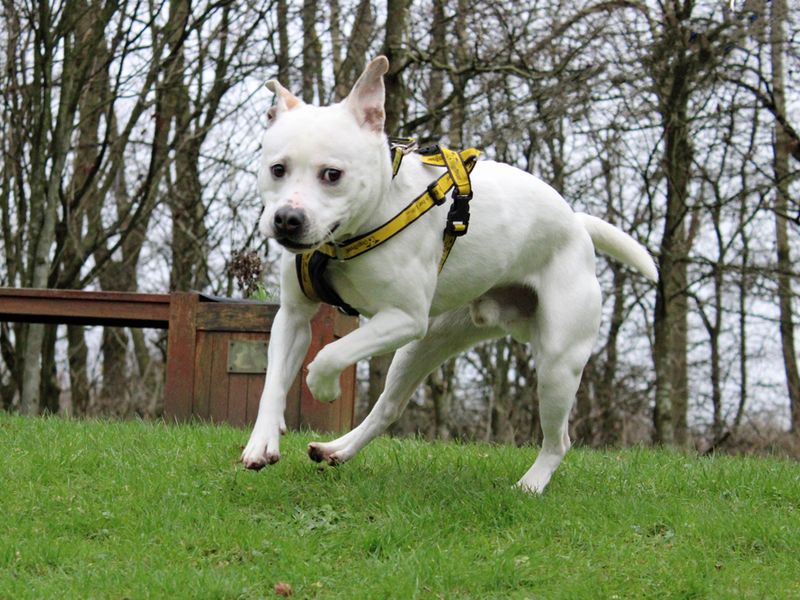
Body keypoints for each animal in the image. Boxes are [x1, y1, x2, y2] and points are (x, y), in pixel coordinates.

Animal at [242, 58, 656, 494]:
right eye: (277, 169)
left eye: (332, 174)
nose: (287, 219)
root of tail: (577, 224)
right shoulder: (294, 316)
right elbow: (273, 382)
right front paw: (262, 441)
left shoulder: (404, 318)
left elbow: (330, 354)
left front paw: (324, 387)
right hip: (424, 346)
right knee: (388, 407)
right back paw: (337, 449)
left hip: (557, 363)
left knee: (559, 440)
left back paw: (531, 484)